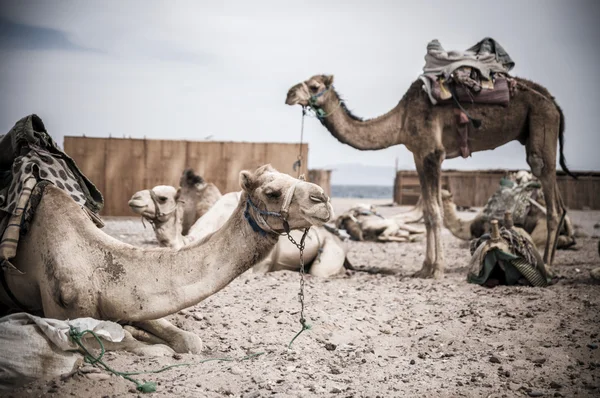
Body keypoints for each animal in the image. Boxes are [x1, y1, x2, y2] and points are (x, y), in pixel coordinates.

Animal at [288, 75, 576, 280]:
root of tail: (555, 103)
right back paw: (549, 263)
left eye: (314, 85)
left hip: (542, 127)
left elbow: (436, 211)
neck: (401, 121)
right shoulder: (419, 154)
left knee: (549, 195)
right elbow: (427, 212)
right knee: (560, 206)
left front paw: (437, 270)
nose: (289, 94)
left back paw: (547, 267)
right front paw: (425, 268)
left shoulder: (433, 153)